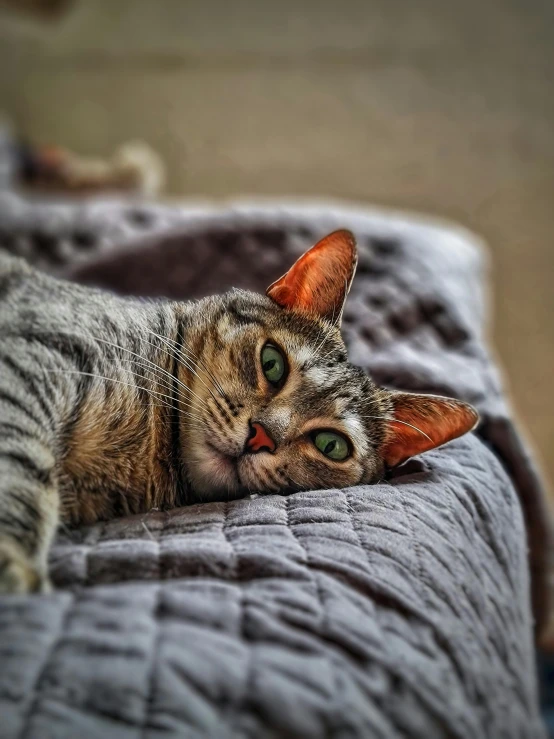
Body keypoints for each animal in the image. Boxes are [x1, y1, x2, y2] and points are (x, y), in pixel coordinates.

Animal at [0, 231, 474, 596]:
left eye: (331, 445)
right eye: (272, 363)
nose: (260, 436)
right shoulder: (41, 354)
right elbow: (19, 465)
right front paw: (15, 564)